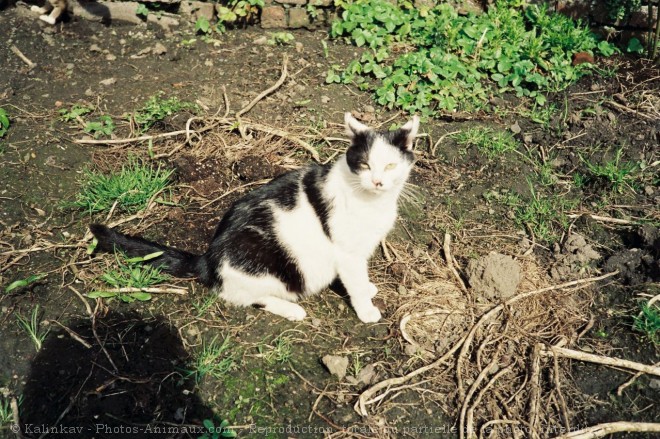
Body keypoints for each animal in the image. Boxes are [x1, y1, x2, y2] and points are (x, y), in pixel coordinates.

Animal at [89, 114, 418, 324]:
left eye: (390, 166)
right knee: (242, 296)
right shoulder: (348, 252)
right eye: (364, 164)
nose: (377, 181)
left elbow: (356, 278)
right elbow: (355, 281)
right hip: (258, 263)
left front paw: (365, 288)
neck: (372, 201)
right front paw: (366, 309)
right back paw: (291, 310)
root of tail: (208, 258)